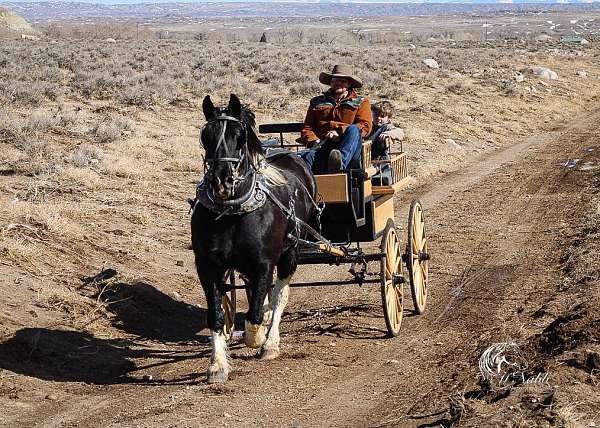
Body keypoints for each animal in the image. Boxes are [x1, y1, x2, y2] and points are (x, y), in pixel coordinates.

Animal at [192, 94, 316, 384]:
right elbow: (216, 315)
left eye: (239, 136)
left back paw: (271, 343)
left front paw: (259, 339)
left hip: (291, 254)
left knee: (280, 295)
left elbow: (255, 315)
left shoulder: (263, 264)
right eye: (206, 136)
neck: (232, 212)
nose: (221, 181)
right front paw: (217, 365)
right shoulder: (208, 267)